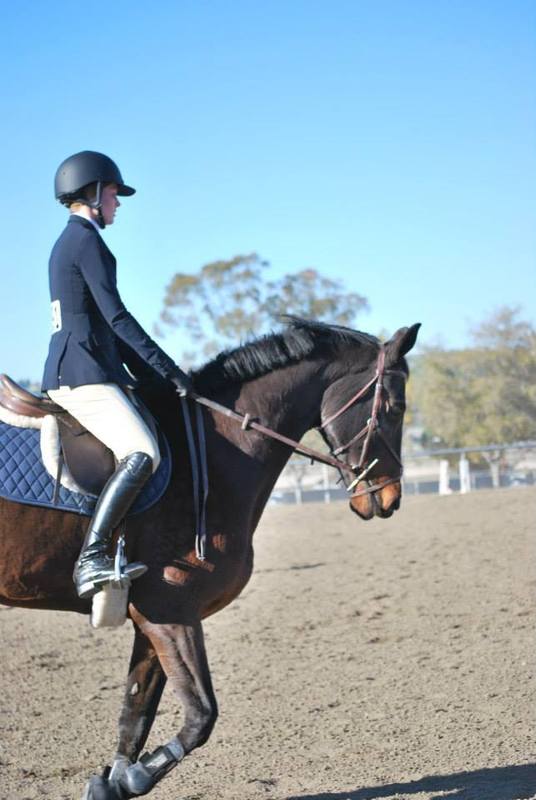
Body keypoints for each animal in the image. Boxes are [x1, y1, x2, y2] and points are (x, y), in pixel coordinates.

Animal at [0, 318, 418, 800]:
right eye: (394, 406)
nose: (389, 498)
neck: (218, 450)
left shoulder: (150, 618)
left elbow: (136, 710)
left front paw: (113, 781)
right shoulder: (170, 611)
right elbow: (202, 715)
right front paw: (137, 776)